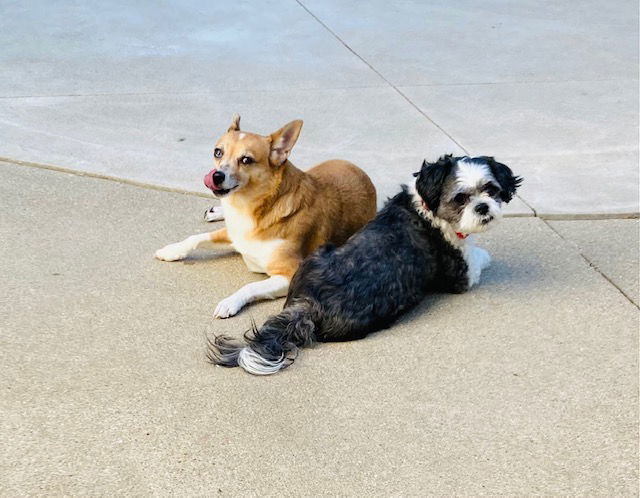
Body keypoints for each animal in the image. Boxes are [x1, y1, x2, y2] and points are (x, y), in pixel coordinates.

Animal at [154, 116, 376, 318]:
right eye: (218, 152)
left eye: (246, 160)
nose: (216, 176)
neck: (248, 209)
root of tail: (358, 169)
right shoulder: (233, 234)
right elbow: (196, 237)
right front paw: (172, 250)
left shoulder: (289, 274)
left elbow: (250, 286)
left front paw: (230, 302)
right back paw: (218, 211)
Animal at [208, 155, 524, 374]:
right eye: (461, 198)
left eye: (491, 189)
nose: (483, 208)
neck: (426, 207)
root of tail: (309, 303)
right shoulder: (461, 273)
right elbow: (477, 256)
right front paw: (484, 252)